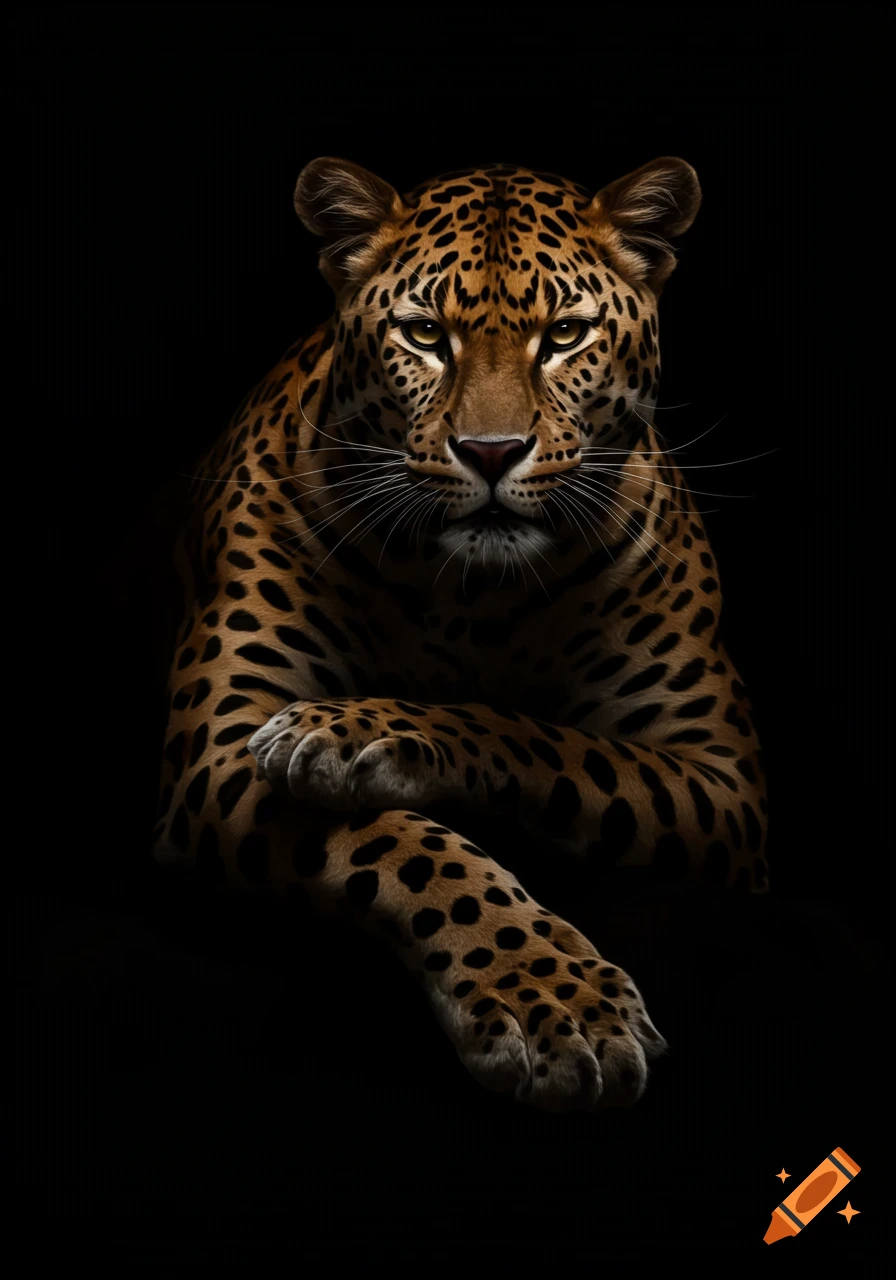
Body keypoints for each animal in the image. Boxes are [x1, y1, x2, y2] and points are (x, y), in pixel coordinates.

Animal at [152, 154, 768, 1114]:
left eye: (565, 335)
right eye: (422, 334)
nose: (490, 451)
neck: (471, 593)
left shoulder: (723, 780)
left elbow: (539, 736)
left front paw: (355, 729)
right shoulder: (215, 745)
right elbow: (406, 846)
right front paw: (556, 1002)